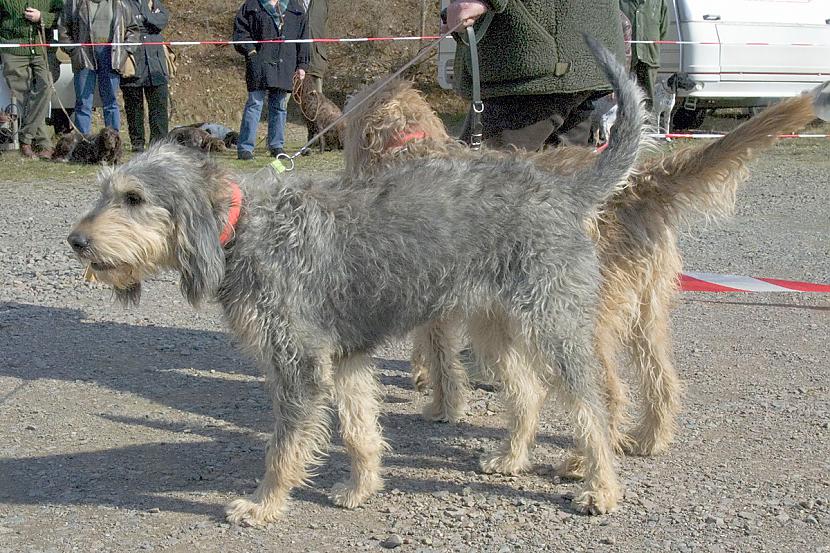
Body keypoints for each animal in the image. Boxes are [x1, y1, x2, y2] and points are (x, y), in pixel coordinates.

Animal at [66, 38, 648, 520]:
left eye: (134, 198)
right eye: (103, 190)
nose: (76, 241)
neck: (246, 230)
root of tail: (561, 191)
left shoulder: (298, 367)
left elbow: (283, 448)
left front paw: (264, 504)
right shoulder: (344, 360)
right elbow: (358, 431)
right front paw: (361, 488)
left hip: (554, 328)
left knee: (593, 408)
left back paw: (601, 487)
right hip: (492, 327)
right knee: (526, 393)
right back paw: (510, 456)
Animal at [342, 76, 828, 474]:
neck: (410, 147)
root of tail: (636, 184)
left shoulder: (435, 306)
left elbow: (441, 356)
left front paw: (443, 405)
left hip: (578, 318)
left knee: (607, 394)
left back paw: (583, 463)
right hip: (646, 310)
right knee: (661, 379)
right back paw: (649, 439)